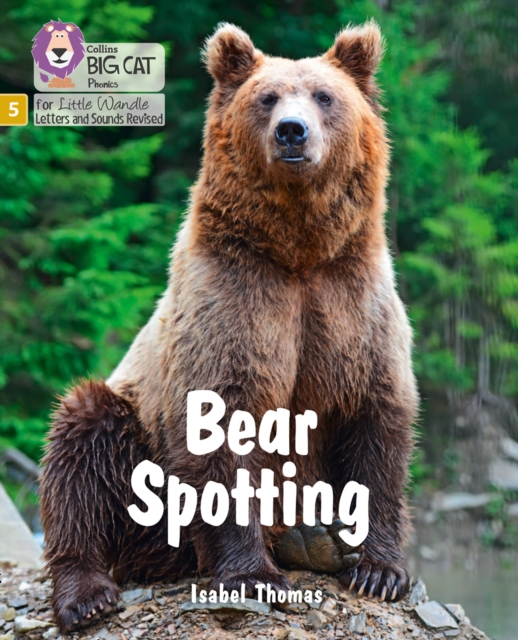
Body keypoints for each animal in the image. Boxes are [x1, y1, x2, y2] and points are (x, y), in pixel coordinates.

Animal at [40, 21, 418, 632]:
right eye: (267, 98)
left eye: (324, 95)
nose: (292, 132)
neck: (297, 251)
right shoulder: (233, 300)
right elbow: (221, 425)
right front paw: (253, 576)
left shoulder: (352, 304)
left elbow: (377, 422)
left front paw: (379, 570)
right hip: (135, 445)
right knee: (81, 446)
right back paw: (86, 593)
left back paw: (312, 539)